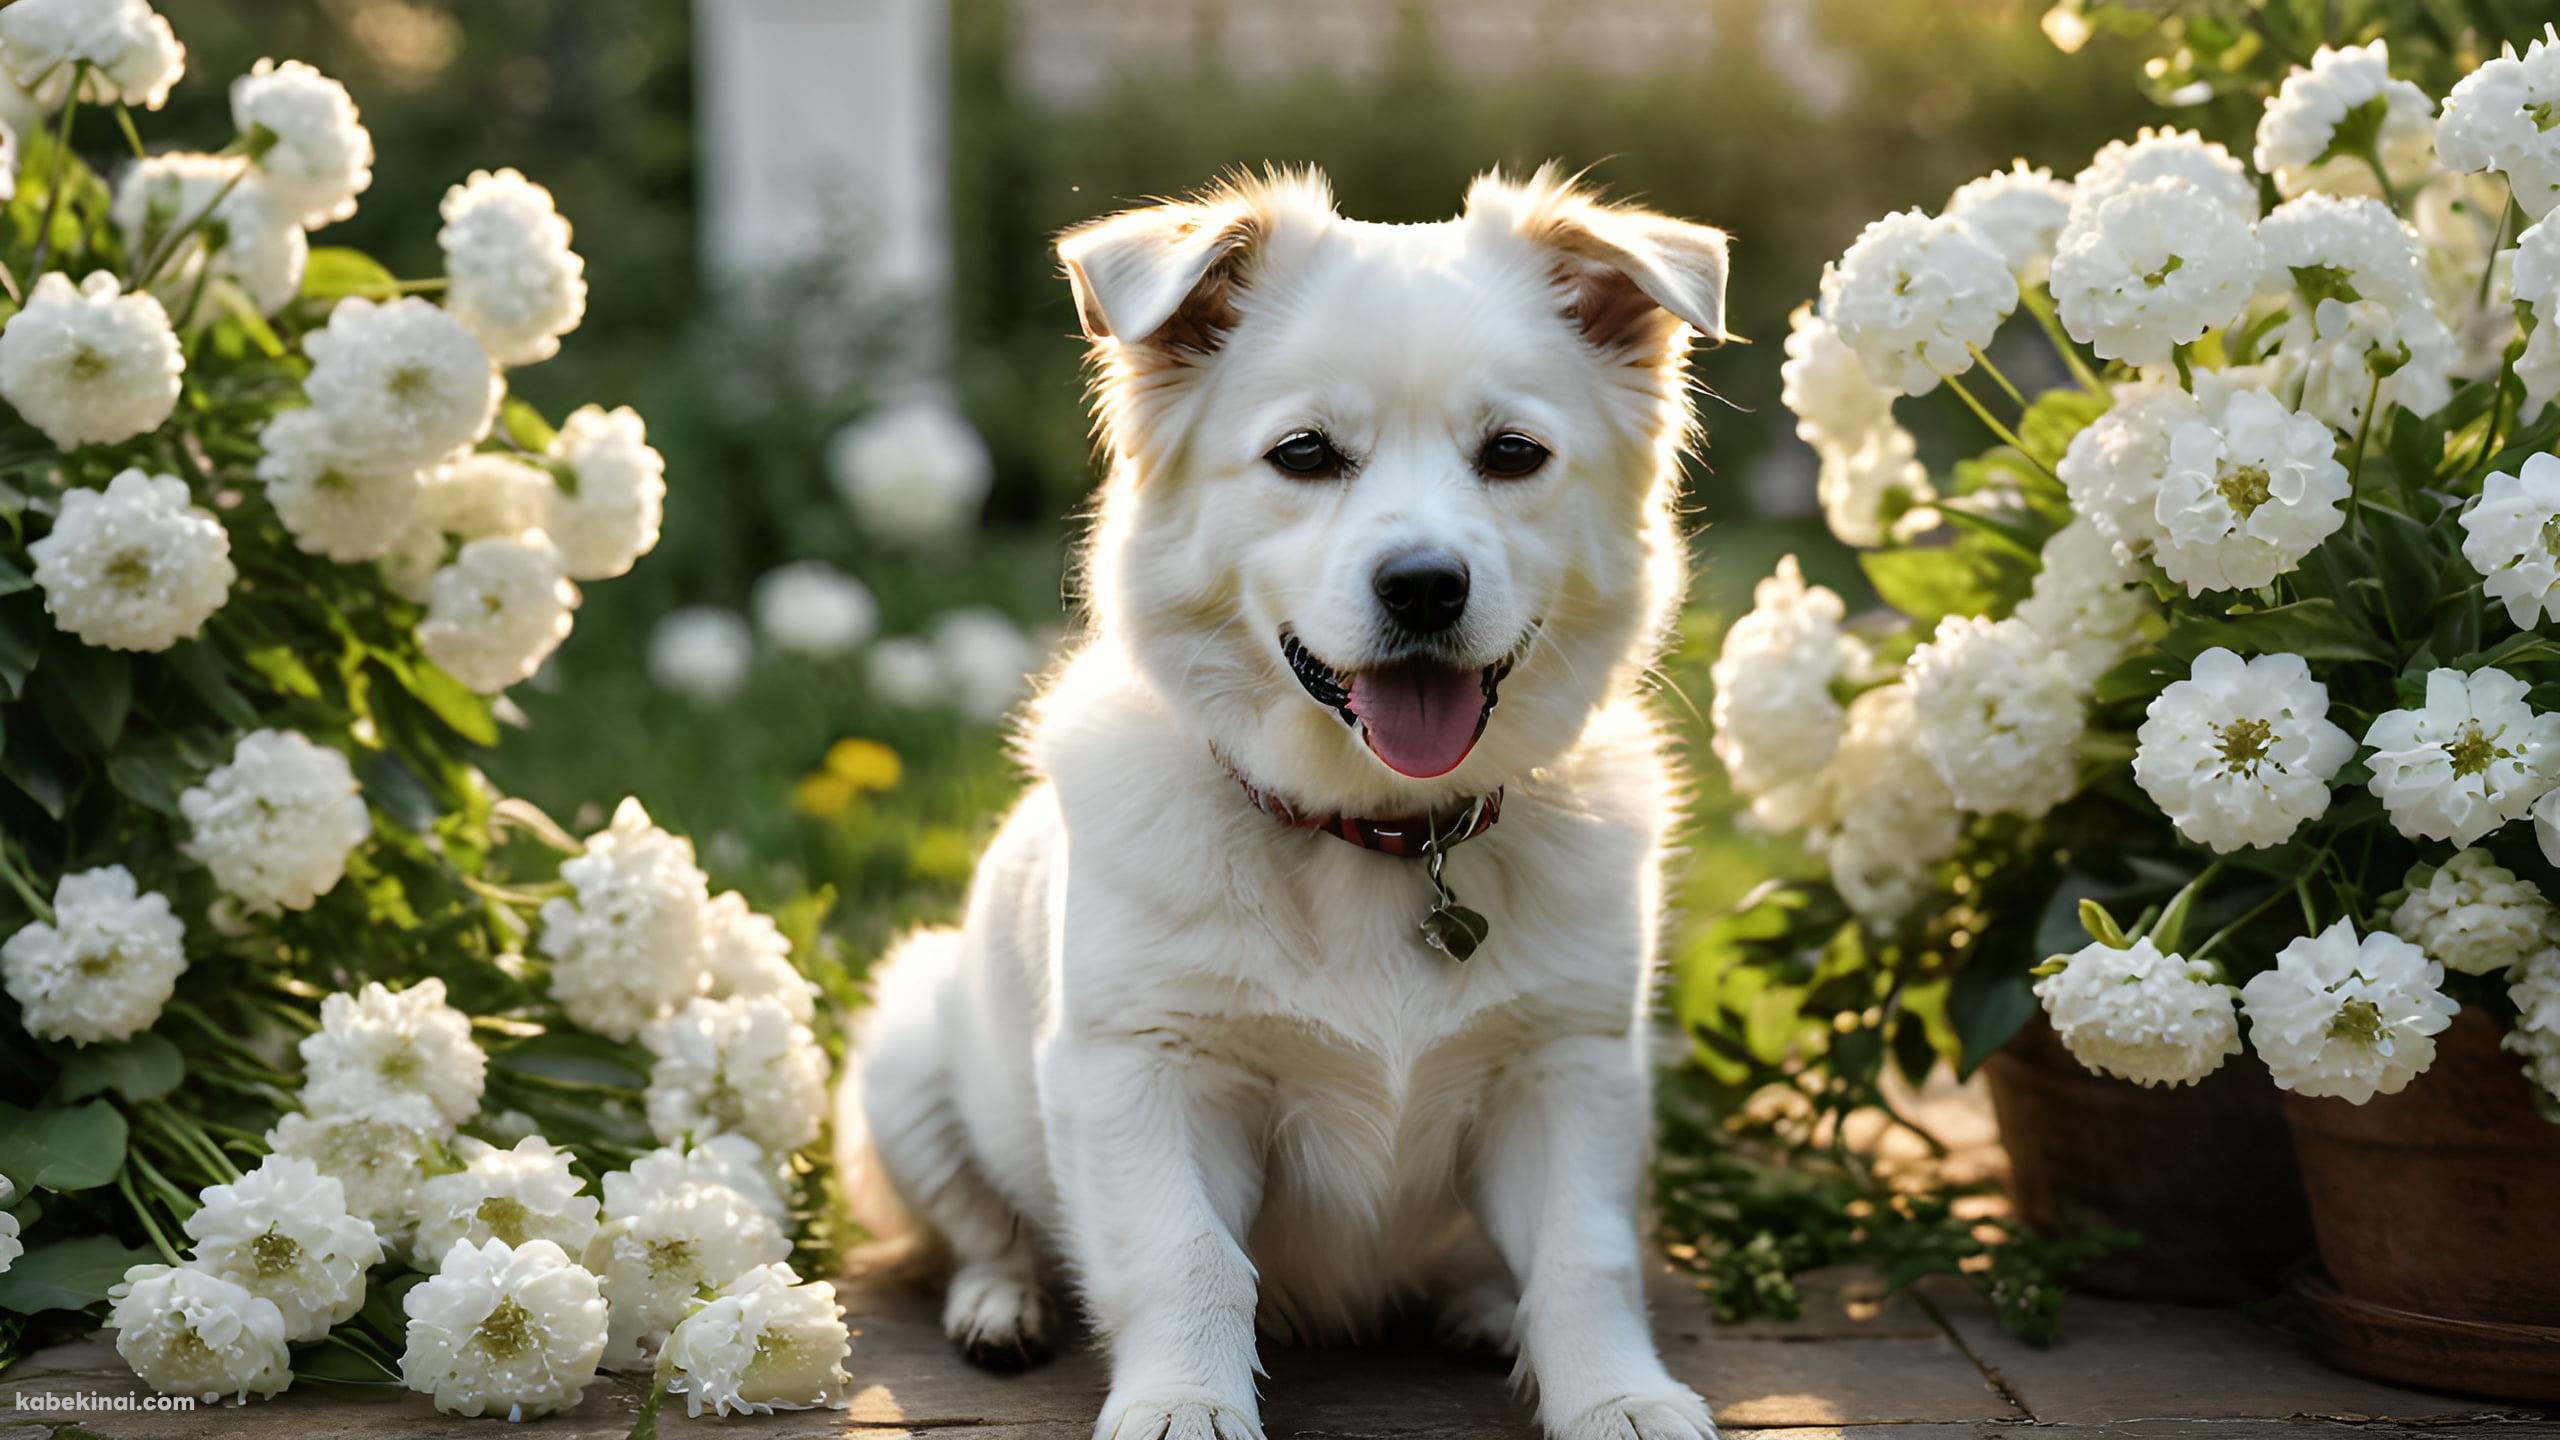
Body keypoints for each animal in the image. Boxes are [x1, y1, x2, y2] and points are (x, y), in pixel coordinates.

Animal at [849, 167, 1730, 1434]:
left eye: (1512, 454)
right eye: (1304, 454)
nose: (1425, 585)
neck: (1379, 832)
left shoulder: (1567, 1065)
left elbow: (1584, 1258)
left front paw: (1616, 1396)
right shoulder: (1143, 1069)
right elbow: (1183, 1258)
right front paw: (1182, 1403)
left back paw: (1483, 1310)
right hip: (907, 1059)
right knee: (981, 1229)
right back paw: (999, 1306)